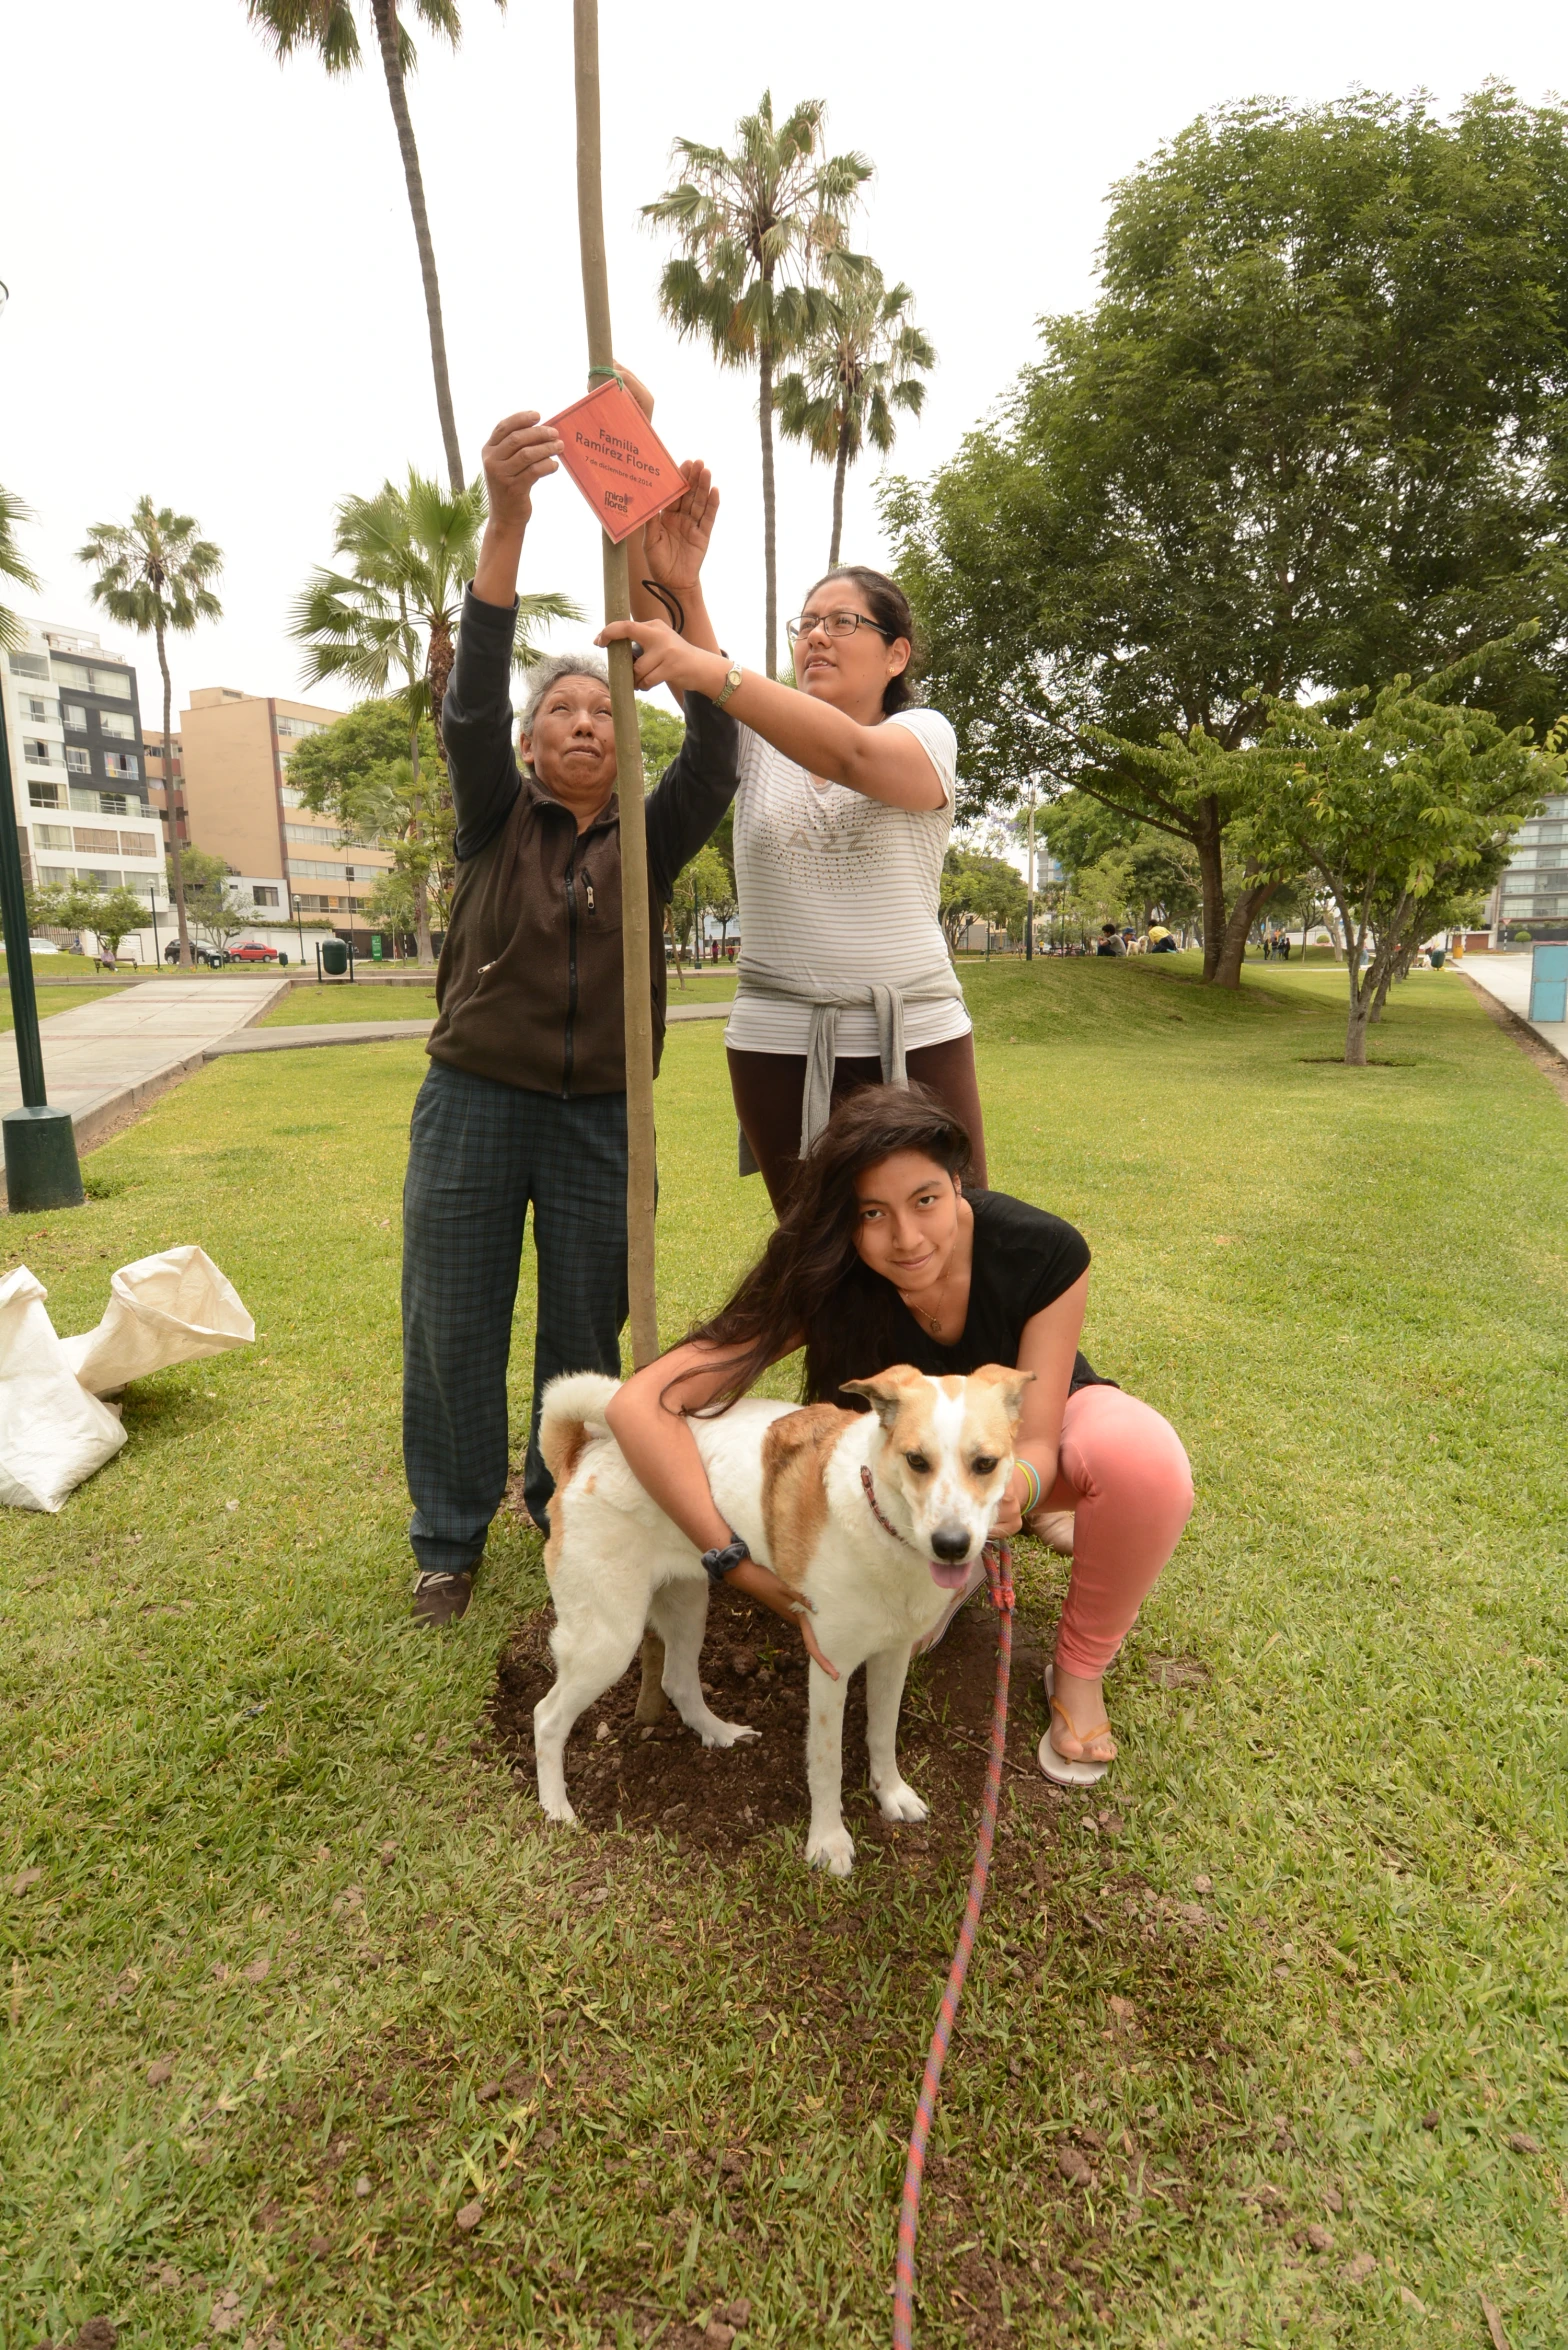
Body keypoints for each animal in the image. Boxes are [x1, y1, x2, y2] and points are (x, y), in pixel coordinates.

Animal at [533, 1363, 1034, 1870]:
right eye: (916, 1460)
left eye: (985, 1464)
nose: (951, 1546)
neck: (881, 1519)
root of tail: (581, 1451)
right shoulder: (830, 1666)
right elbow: (827, 1762)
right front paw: (828, 1841)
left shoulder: (893, 1656)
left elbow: (883, 1732)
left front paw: (890, 1793)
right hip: (608, 1640)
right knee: (546, 1717)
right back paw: (555, 1808)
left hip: (688, 1604)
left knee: (677, 1680)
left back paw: (718, 1732)